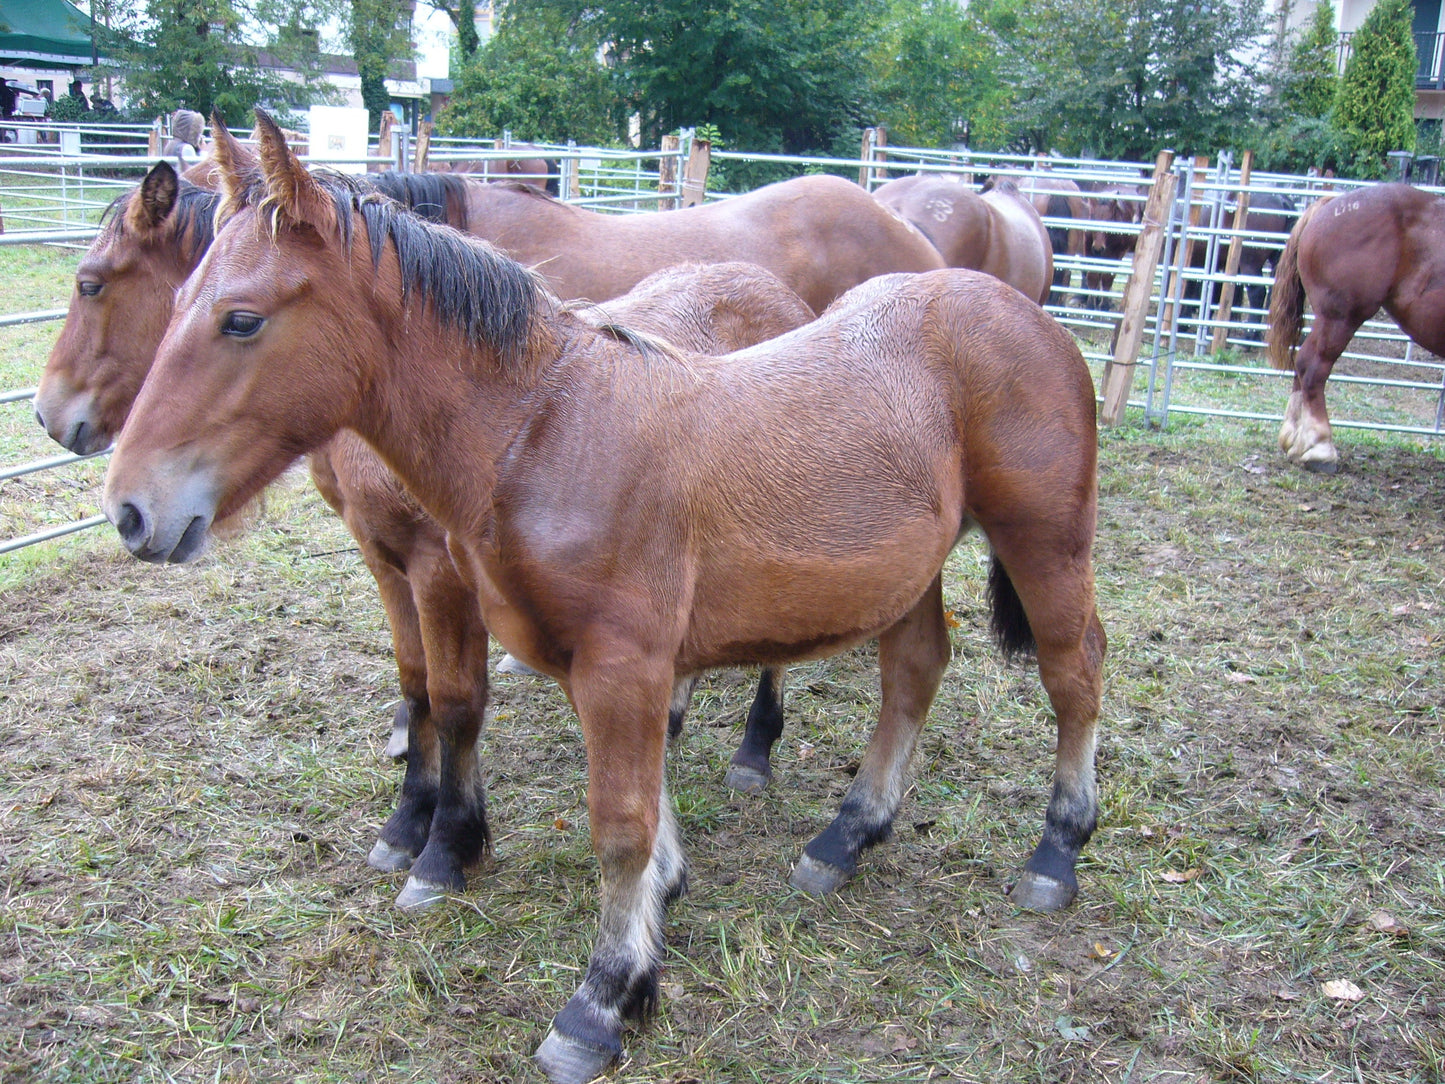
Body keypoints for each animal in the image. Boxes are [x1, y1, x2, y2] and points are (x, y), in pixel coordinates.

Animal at [33, 158, 814, 910]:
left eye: (91, 283)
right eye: (173, 304)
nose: (129, 510)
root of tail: (776, 291)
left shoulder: (441, 573)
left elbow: (455, 702)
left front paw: (446, 849)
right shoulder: (383, 558)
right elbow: (415, 688)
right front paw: (406, 822)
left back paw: (755, 751)